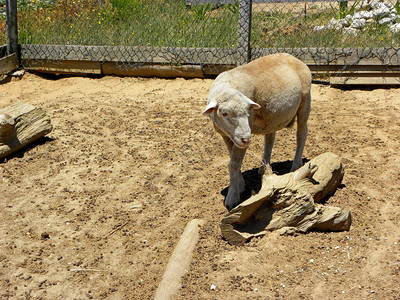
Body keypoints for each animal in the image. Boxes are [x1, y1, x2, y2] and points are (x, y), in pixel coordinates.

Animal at [203, 52, 312, 210]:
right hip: (273, 116)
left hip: (305, 101)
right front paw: (240, 184)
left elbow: (234, 164)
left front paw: (232, 197)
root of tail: (293, 57)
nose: (246, 139)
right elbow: (232, 160)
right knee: (270, 139)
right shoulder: (227, 135)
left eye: (247, 112)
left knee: (301, 134)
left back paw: (296, 165)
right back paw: (264, 167)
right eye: (224, 113)